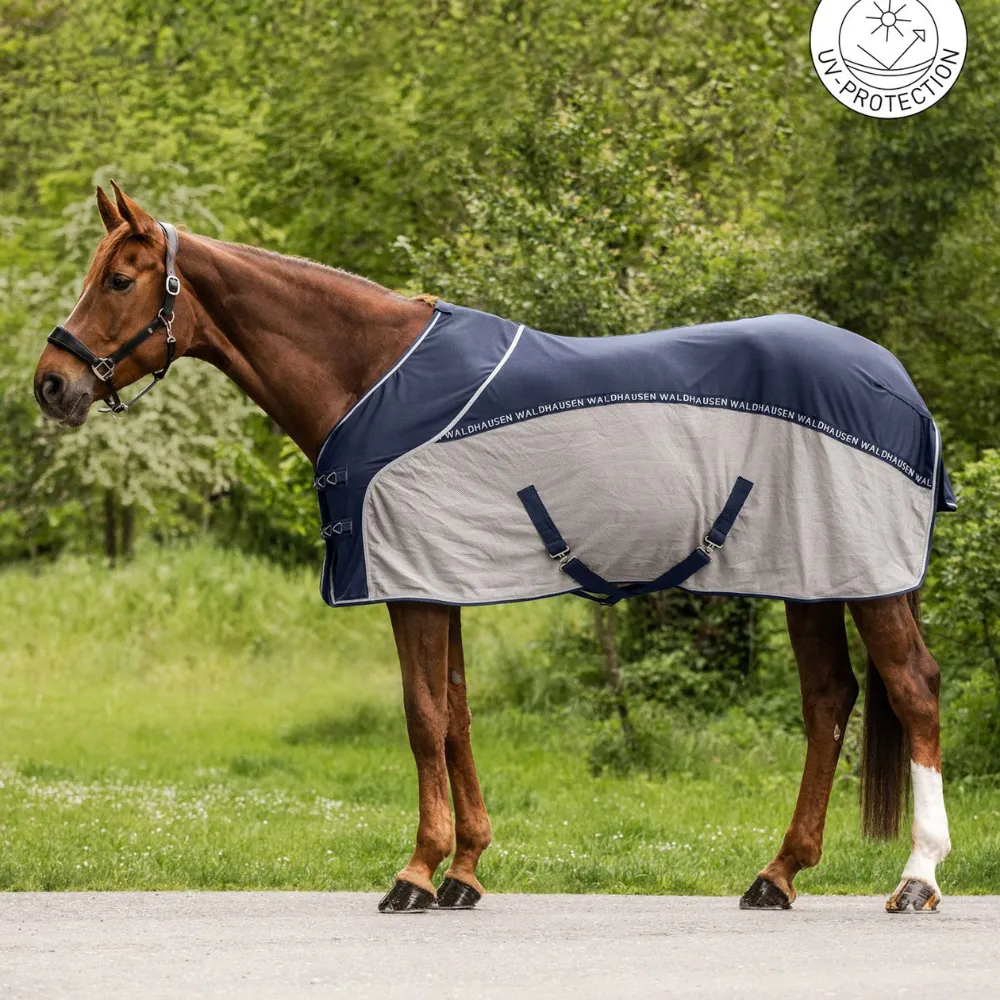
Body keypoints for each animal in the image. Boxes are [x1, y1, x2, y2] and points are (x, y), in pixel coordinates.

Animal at [33, 184, 952, 914]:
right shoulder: (443, 578)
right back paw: (778, 874)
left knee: (913, 689)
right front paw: (465, 871)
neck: (372, 375)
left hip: (866, 579)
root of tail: (899, 382)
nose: (51, 383)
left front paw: (415, 872)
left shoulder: (411, 585)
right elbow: (458, 714)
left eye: (119, 279)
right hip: (812, 579)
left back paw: (917, 878)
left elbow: (422, 716)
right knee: (830, 700)